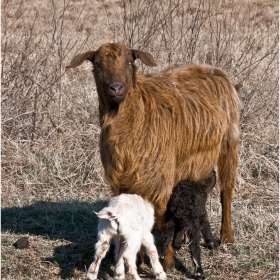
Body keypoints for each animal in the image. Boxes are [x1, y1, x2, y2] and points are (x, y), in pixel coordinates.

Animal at [66, 42, 240, 272]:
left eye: (130, 62)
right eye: (97, 64)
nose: (116, 88)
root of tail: (211, 68)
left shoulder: (161, 180)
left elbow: (163, 221)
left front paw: (168, 262)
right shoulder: (123, 182)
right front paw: (137, 259)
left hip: (229, 142)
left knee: (226, 190)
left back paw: (227, 237)